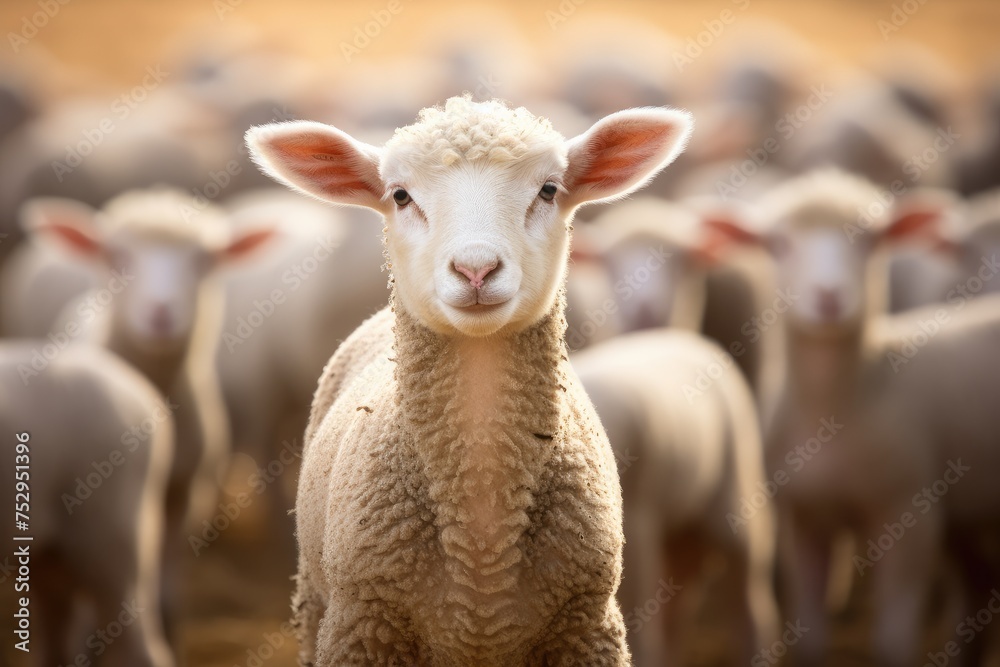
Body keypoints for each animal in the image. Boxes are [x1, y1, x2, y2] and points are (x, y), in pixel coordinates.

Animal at [572, 328, 779, 665]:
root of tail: (691, 339)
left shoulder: (638, 523)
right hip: (680, 529)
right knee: (679, 606)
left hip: (737, 493)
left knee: (748, 602)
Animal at [706, 169, 950, 666]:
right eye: (778, 244)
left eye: (872, 240)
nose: (830, 296)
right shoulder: (801, 520)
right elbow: (810, 637)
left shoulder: (911, 516)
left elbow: (893, 642)